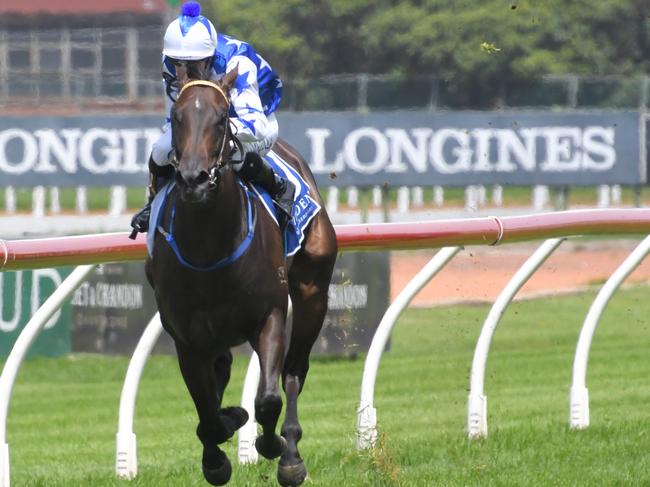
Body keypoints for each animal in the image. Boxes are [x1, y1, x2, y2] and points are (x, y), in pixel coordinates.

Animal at [145, 66, 336, 486]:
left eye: (221, 117)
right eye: (177, 117)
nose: (195, 179)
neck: (209, 249)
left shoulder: (270, 317)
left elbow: (267, 400)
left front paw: (272, 446)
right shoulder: (186, 338)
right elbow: (207, 414)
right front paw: (218, 451)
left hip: (313, 290)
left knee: (294, 372)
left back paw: (291, 450)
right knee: (221, 376)